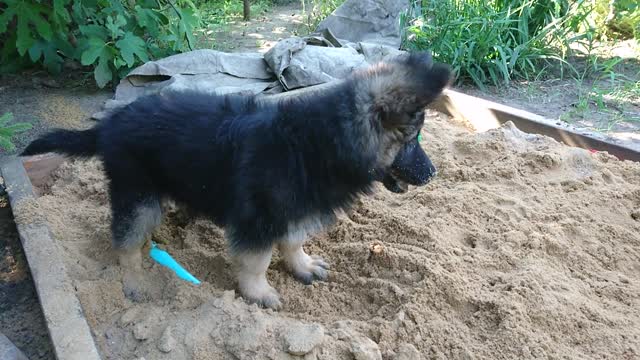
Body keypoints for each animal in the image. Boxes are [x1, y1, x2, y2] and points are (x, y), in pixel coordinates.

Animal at [20, 51, 450, 310]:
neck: (315, 142)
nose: (432, 174)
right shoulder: (258, 218)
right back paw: (134, 280)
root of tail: (111, 122)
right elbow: (257, 261)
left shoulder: (292, 209)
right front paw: (258, 294)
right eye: (412, 140)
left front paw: (302, 266)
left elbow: (293, 242)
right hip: (136, 194)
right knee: (123, 241)